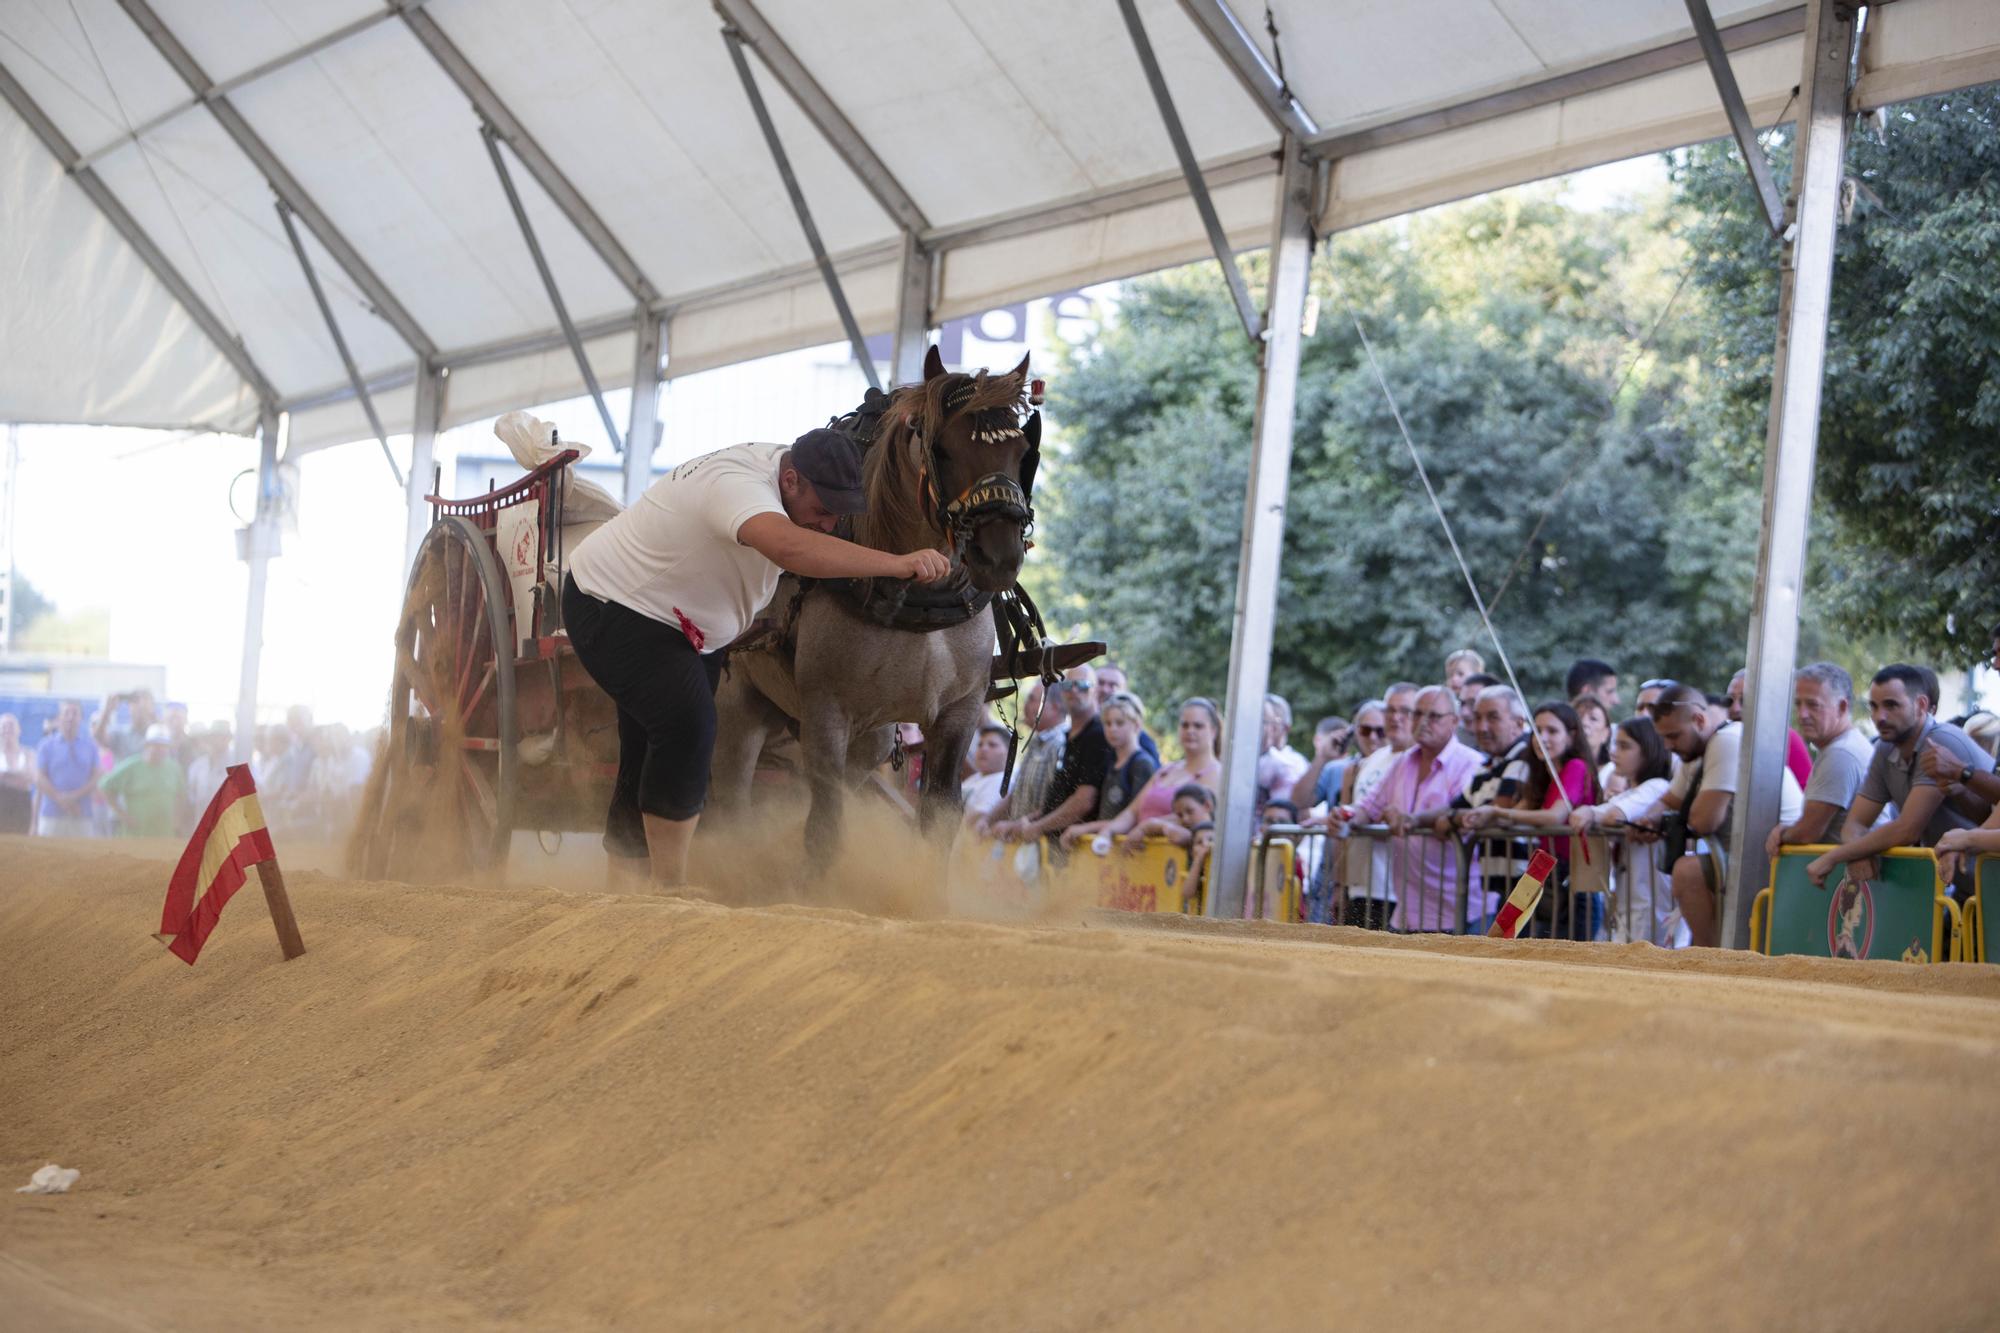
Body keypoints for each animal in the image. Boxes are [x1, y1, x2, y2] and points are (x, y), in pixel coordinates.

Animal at [712, 348, 1040, 856]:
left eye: (1023, 451)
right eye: (944, 448)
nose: (999, 556)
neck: (922, 600)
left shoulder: (959, 713)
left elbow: (939, 816)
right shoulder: (826, 711)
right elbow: (823, 825)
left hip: (871, 738)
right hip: (739, 711)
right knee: (731, 801)